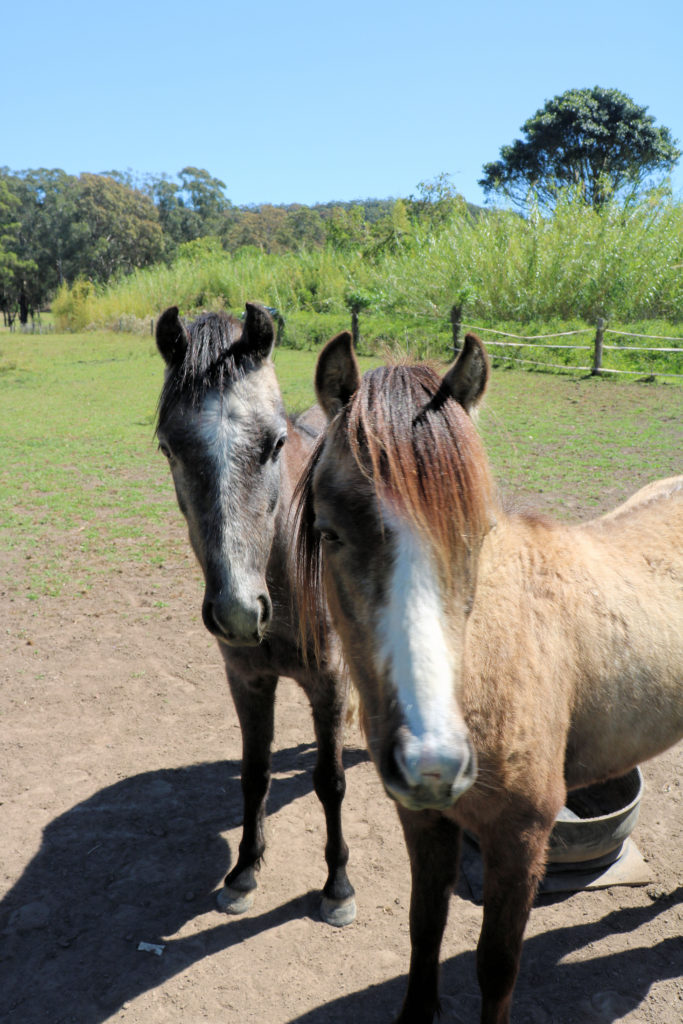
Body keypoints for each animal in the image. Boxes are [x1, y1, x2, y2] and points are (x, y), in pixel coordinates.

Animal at [155, 303, 358, 929]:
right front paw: (243, 872)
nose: (240, 612)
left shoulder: (329, 682)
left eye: (274, 443)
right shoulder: (246, 680)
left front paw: (337, 888)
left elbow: (330, 781)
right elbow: (254, 774)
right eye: (168, 448)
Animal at [294, 331, 683, 1019]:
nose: (434, 763)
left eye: (476, 533)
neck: (485, 677)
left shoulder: (521, 840)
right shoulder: (424, 822)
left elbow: (497, 966)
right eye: (330, 532)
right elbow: (425, 930)